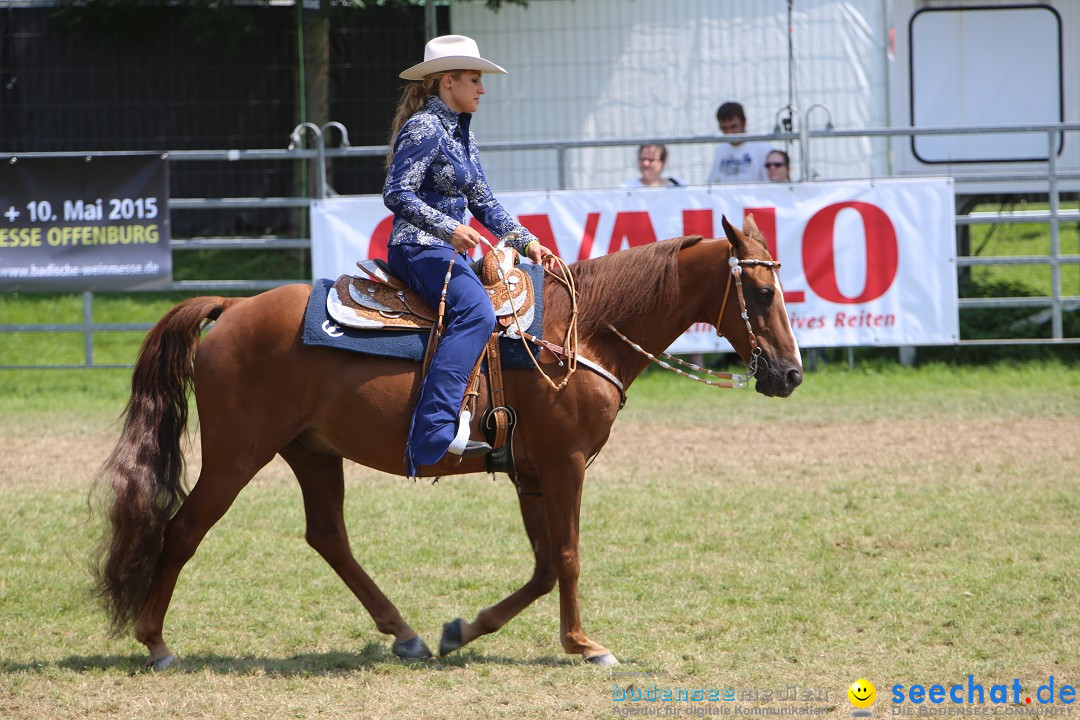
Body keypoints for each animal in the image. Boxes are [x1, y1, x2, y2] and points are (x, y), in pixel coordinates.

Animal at [92, 213, 803, 669]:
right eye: (762, 290)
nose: (790, 373)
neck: (584, 331)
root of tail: (233, 310)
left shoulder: (531, 472)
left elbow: (545, 566)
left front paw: (464, 630)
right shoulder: (565, 464)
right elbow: (568, 557)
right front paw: (583, 645)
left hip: (312, 452)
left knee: (328, 536)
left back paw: (404, 634)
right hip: (237, 455)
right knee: (184, 530)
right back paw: (155, 643)